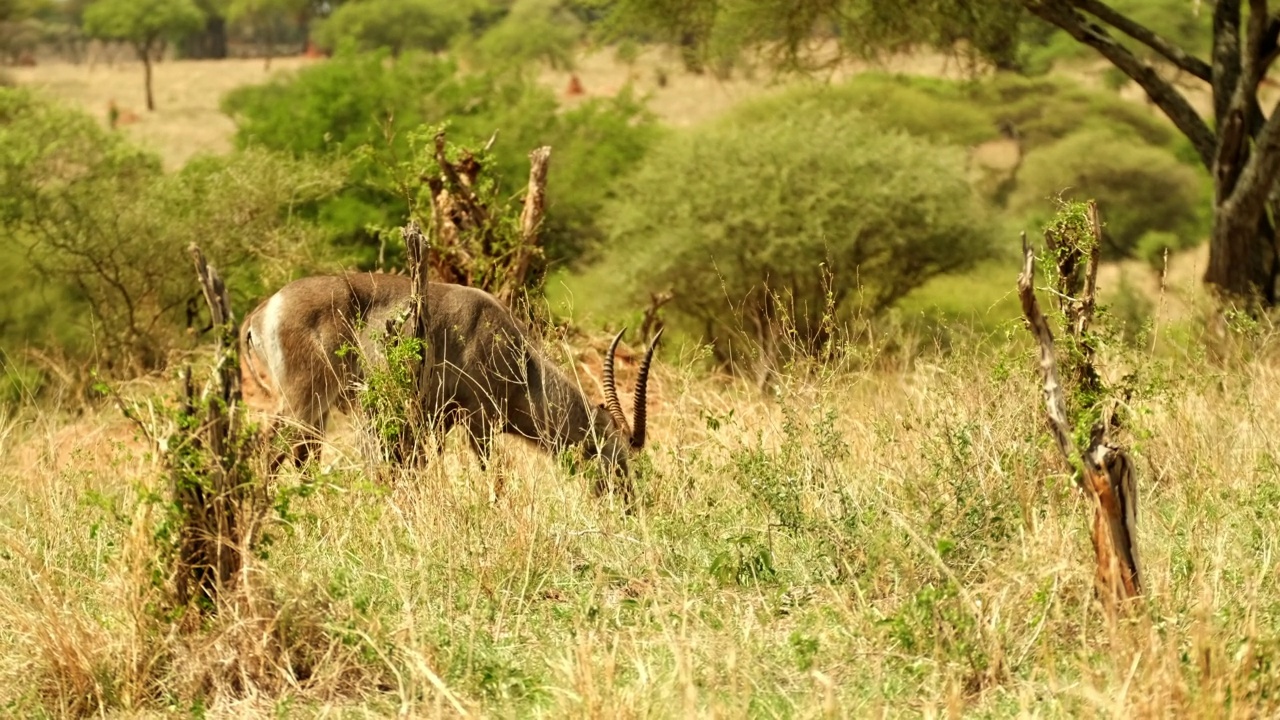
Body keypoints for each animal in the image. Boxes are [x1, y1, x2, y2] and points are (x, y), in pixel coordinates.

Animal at [238, 272, 660, 491]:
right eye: (618, 456)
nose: (628, 502)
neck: (522, 363)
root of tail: (263, 309)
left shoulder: (437, 421)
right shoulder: (479, 421)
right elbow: (494, 474)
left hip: (317, 412)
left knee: (302, 456)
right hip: (304, 401)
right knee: (270, 449)